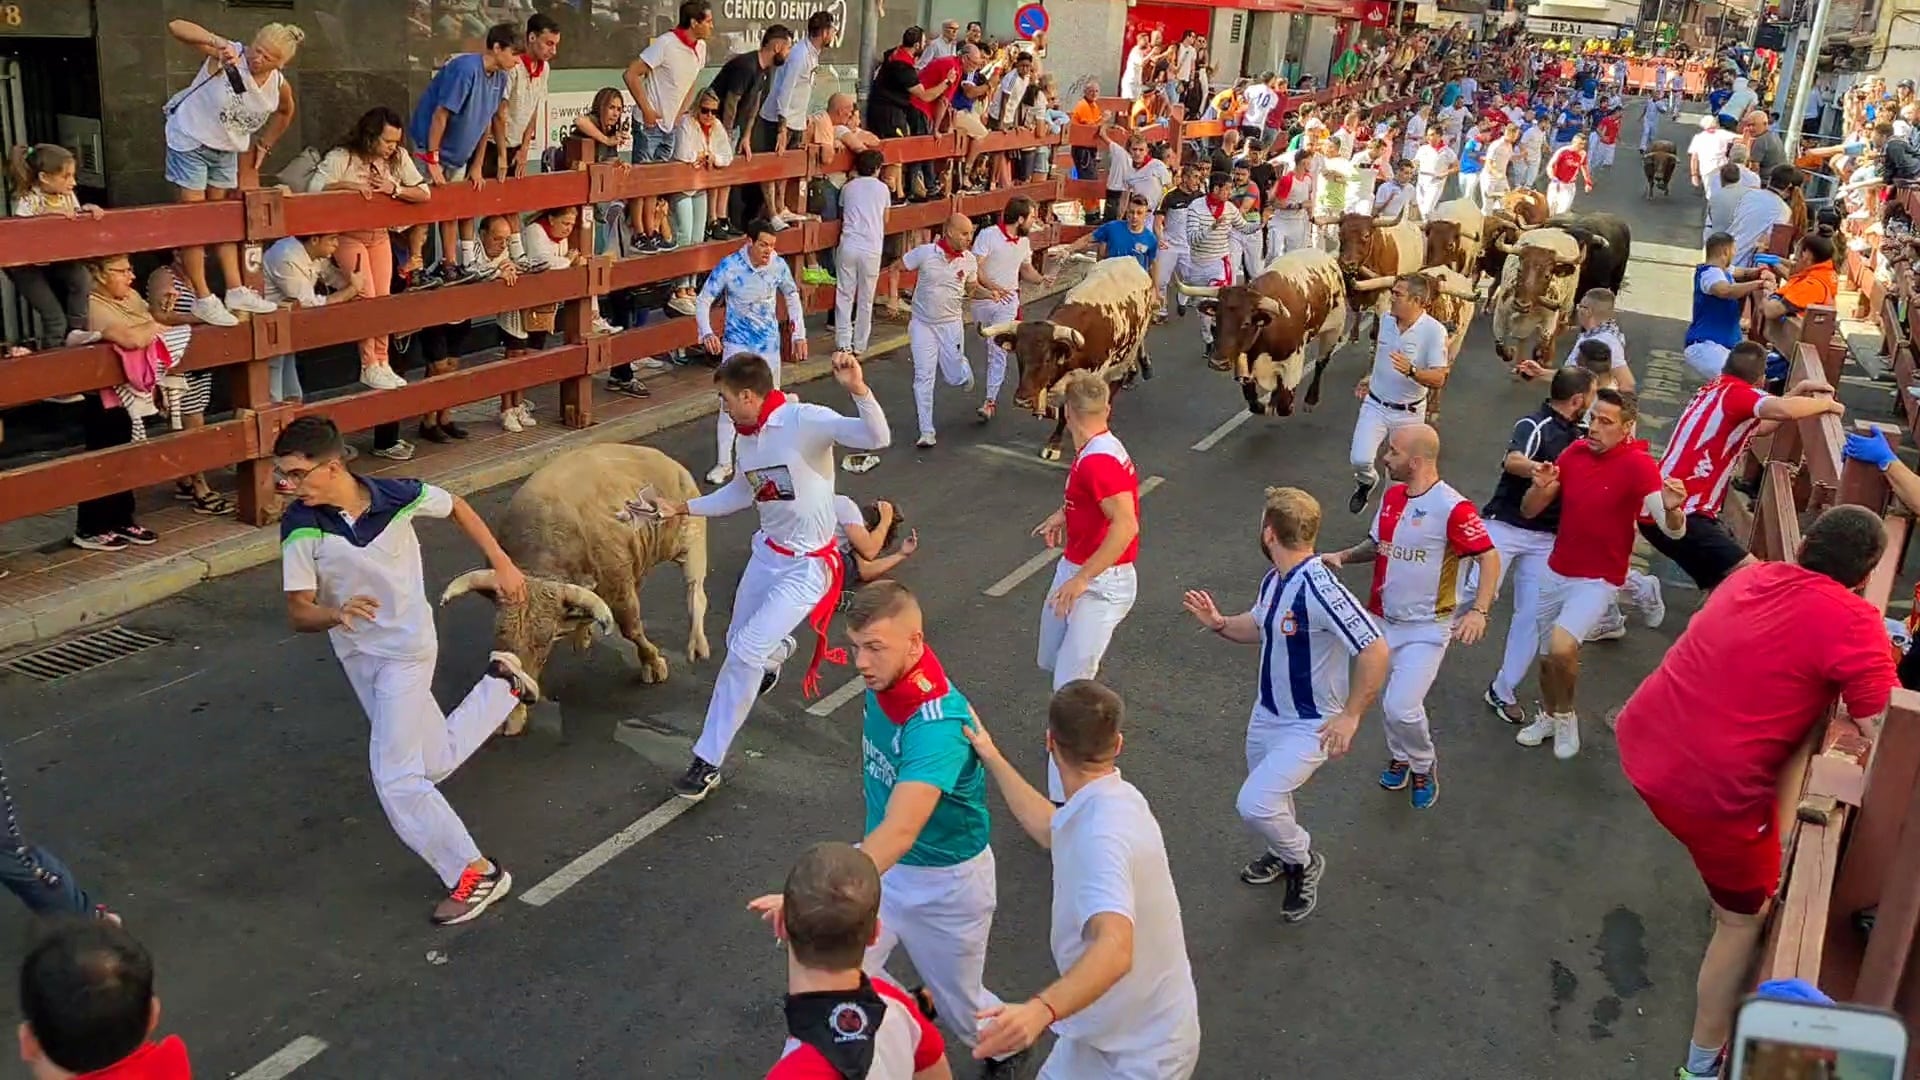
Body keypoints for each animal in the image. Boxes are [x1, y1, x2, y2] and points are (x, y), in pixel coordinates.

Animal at [975, 255, 1152, 457]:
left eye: (1047, 358)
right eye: (1019, 356)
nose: (1022, 400)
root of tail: (1130, 259)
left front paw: (1055, 444)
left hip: (1126, 357)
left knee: (1115, 386)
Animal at [1167, 247, 1351, 417]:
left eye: (1246, 323)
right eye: (1217, 317)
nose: (1217, 362)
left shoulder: (1293, 364)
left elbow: (1284, 405)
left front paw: (1276, 404)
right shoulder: (1244, 365)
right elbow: (1253, 402)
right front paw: (1266, 405)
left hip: (1334, 328)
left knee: (1321, 363)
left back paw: (1310, 400)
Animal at [1489, 225, 1582, 368]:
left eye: (1547, 275)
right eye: (1519, 270)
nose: (1522, 304)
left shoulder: (1550, 319)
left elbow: (1544, 340)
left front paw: (1540, 357)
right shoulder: (1501, 313)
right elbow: (1500, 346)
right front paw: (1511, 352)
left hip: (1565, 305)